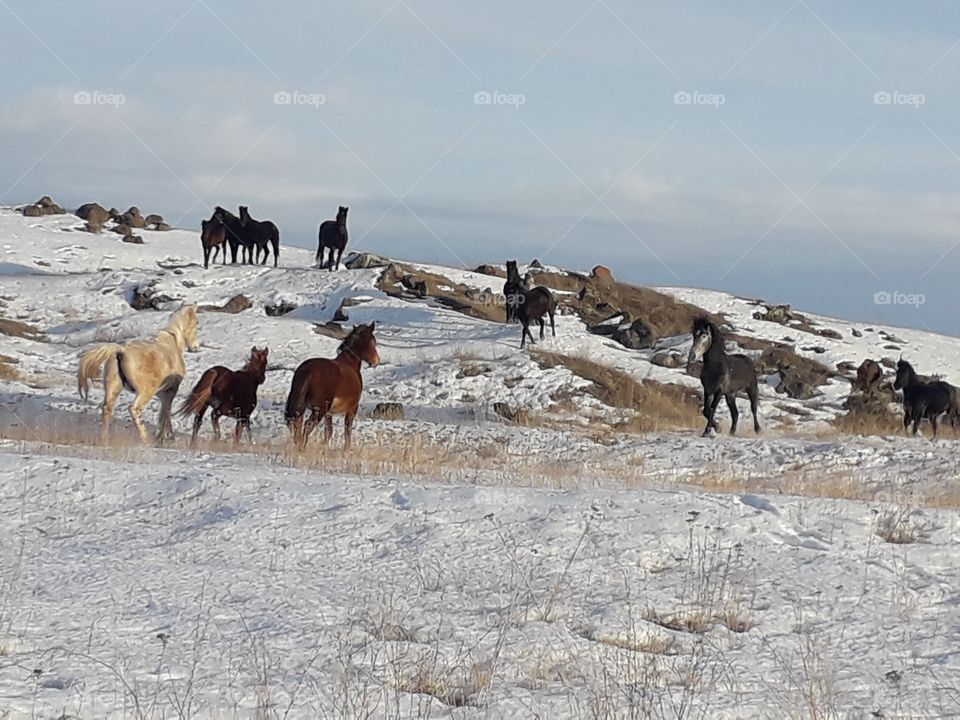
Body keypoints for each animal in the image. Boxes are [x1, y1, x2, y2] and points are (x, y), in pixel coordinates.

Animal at [77, 305, 200, 444]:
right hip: (145, 392)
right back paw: (144, 437)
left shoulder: (162, 393)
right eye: (196, 322)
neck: (172, 344)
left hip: (113, 389)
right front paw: (166, 437)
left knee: (107, 409)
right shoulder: (170, 391)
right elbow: (166, 412)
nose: (196, 346)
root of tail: (121, 352)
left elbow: (163, 413)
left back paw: (105, 439)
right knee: (133, 409)